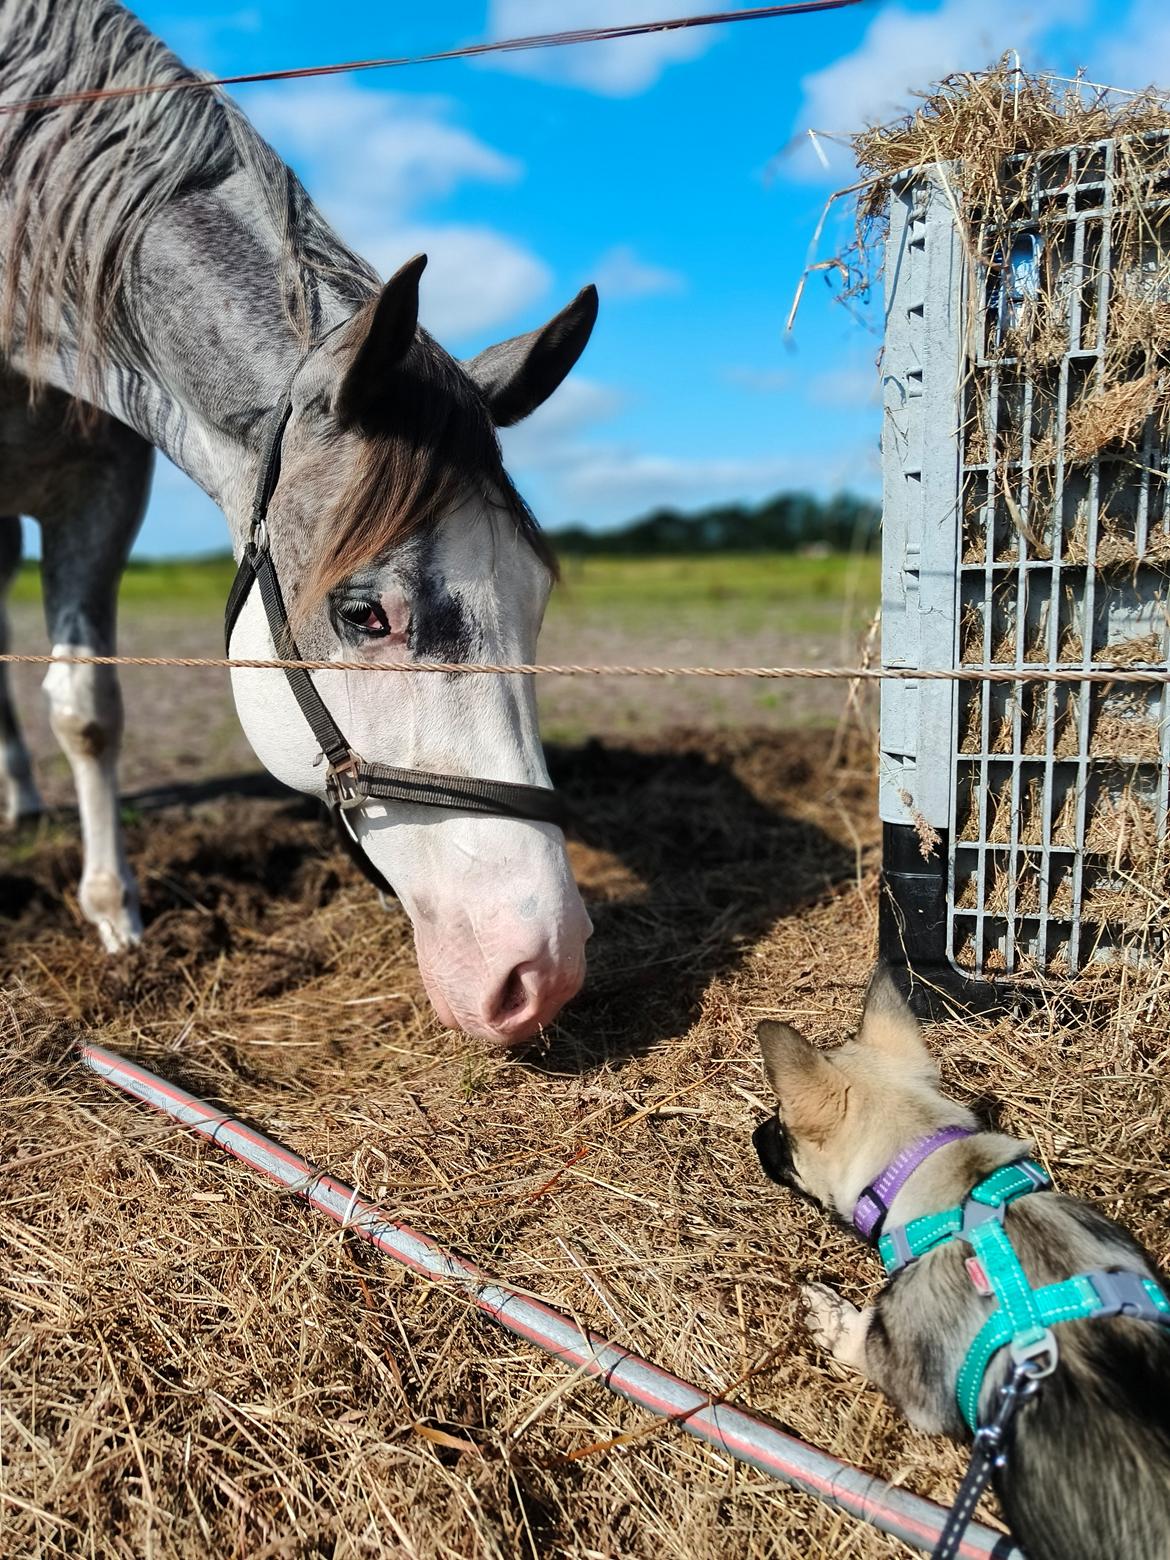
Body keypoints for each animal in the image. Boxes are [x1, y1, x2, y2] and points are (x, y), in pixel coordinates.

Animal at [755, 973, 1166, 1560]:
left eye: (781, 1125)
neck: (964, 1195)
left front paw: (826, 1312)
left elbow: (859, 1335)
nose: (752, 1136)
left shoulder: (911, 1380)